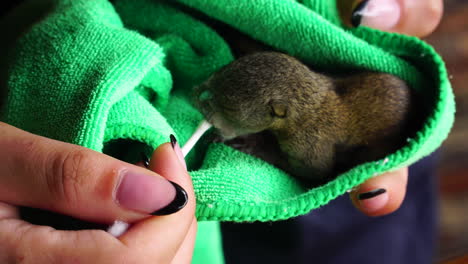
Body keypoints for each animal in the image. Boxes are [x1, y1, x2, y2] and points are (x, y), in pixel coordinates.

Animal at [194, 52, 414, 183]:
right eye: (223, 69)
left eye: (228, 107)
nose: (198, 93)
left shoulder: (310, 146)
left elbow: (315, 173)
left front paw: (254, 144)